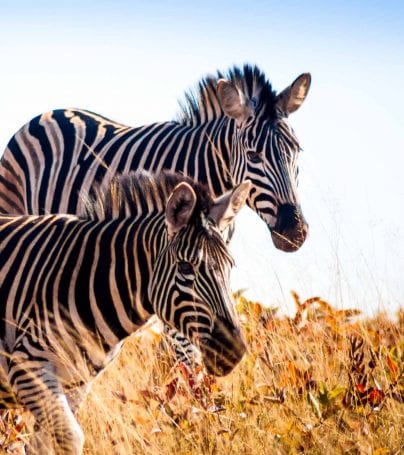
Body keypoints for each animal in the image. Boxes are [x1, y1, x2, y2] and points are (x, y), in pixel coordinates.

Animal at [0, 171, 249, 455]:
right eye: (186, 267)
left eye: (231, 266)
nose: (234, 350)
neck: (90, 279)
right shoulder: (27, 366)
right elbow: (70, 437)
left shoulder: (76, 383)